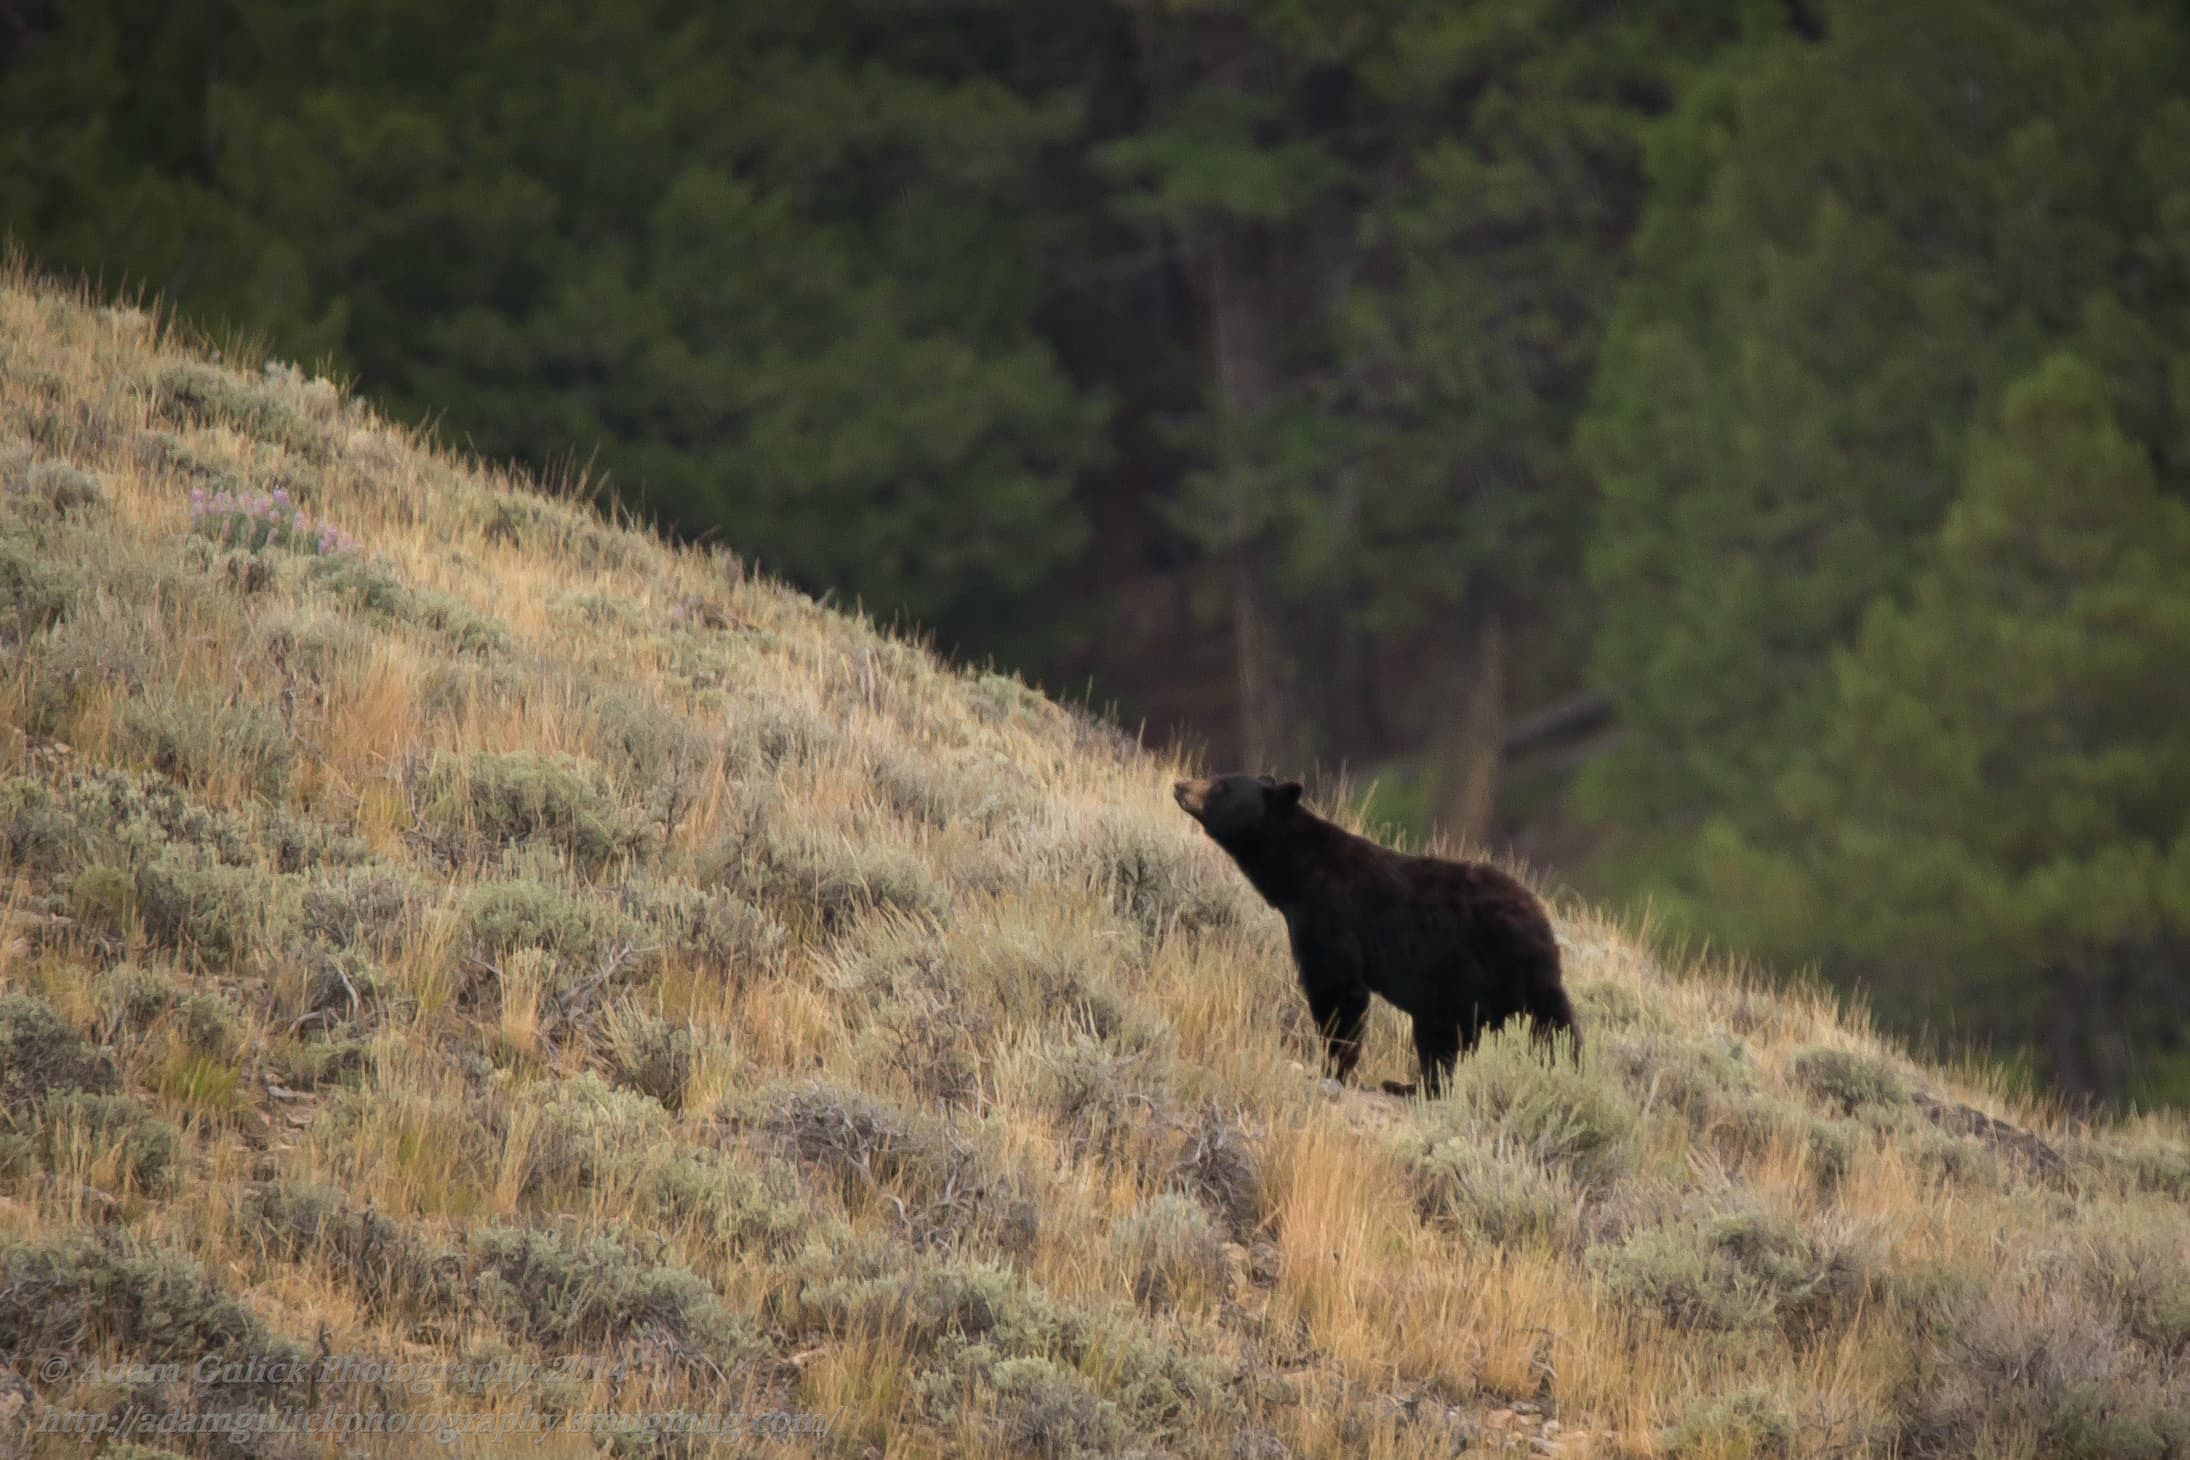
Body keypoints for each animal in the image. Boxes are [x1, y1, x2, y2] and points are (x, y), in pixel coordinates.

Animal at [1182, 774, 1576, 1094]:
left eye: (1221, 785)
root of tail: (1541, 921)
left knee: (1542, 1022)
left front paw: (1332, 1068)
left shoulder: (1330, 915)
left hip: (1493, 968)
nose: (1181, 786)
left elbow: (1338, 988)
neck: (1299, 871)